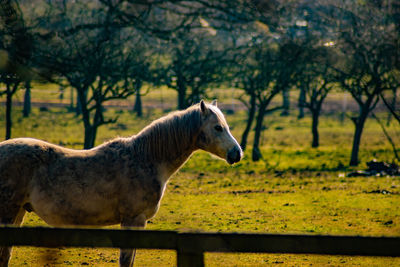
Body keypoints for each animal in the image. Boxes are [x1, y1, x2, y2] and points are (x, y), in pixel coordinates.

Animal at [0, 101, 241, 267]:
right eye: (218, 128)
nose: (237, 153)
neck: (145, 159)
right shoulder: (133, 220)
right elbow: (126, 260)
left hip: (18, 212)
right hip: (9, 212)